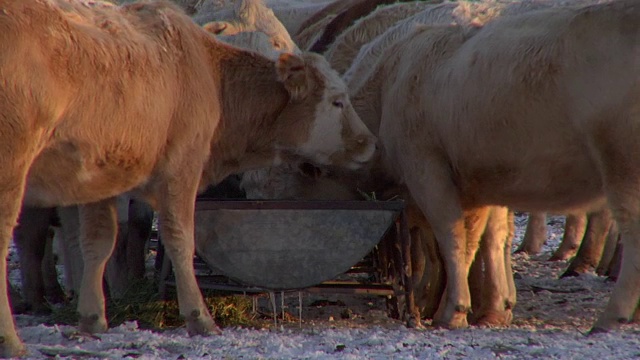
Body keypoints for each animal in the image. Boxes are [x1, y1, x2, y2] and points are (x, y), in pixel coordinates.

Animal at [0, 0, 376, 356]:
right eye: (337, 102)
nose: (370, 143)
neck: (208, 72)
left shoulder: (101, 175)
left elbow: (98, 241)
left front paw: (92, 317)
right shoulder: (181, 168)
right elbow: (180, 239)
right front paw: (200, 317)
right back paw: (12, 338)